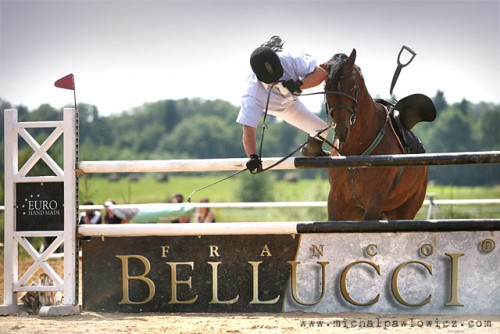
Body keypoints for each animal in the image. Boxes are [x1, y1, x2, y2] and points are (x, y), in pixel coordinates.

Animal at [324, 49, 434, 220]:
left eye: (353, 86)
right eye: (326, 88)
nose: (341, 129)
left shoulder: (374, 203)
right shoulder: (337, 203)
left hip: (405, 210)